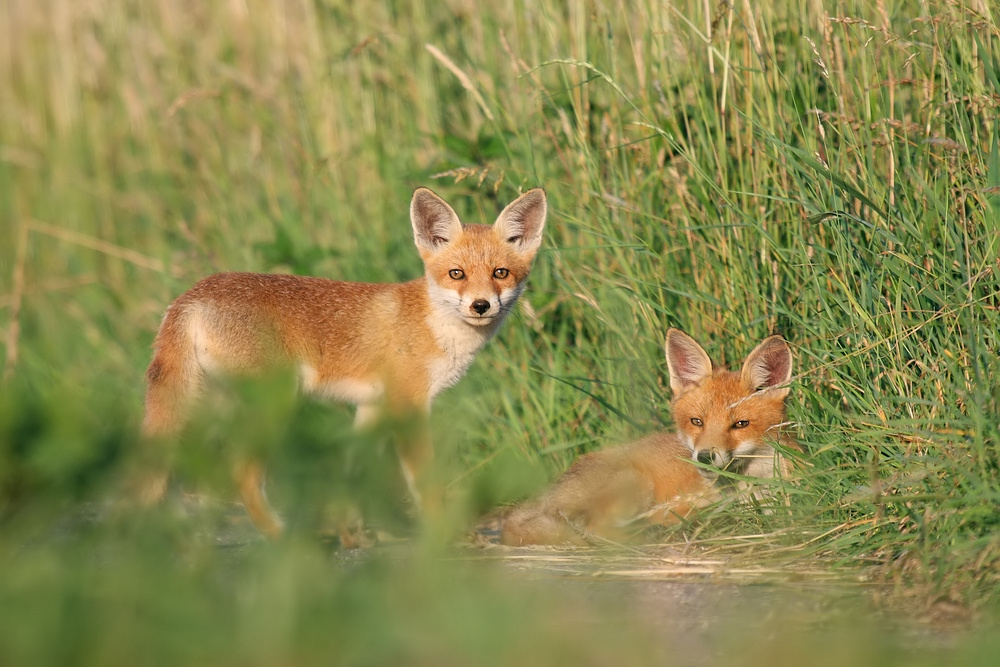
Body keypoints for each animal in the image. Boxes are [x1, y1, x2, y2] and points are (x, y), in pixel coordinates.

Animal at [139, 187, 548, 536]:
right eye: (456, 274)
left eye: (500, 273)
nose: (481, 305)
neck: (432, 324)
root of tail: (190, 295)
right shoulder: (408, 404)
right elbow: (425, 481)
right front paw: (442, 535)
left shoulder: (372, 406)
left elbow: (356, 470)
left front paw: (354, 532)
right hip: (273, 404)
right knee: (241, 474)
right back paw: (279, 537)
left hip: (208, 409)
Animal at [484, 330, 796, 548]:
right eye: (697, 422)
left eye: (740, 424)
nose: (705, 457)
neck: (749, 490)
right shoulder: (682, 503)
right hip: (634, 481)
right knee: (598, 531)